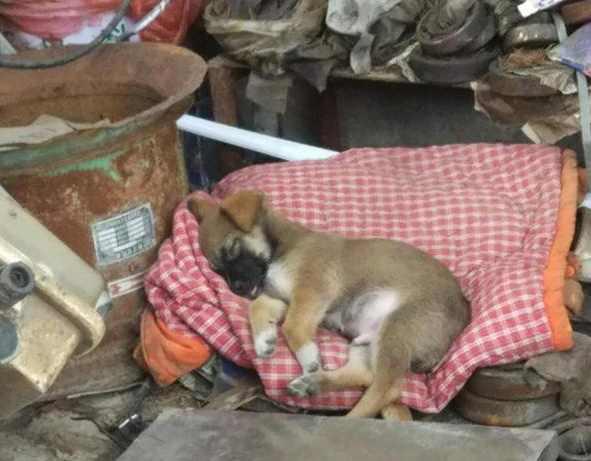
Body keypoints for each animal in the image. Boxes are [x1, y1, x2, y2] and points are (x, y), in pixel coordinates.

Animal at [187, 190, 470, 416]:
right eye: (216, 269)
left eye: (232, 248)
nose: (237, 289)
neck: (282, 249)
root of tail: (464, 315)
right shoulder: (287, 299)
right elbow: (259, 308)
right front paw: (264, 339)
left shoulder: (312, 290)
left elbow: (291, 327)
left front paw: (307, 355)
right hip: (365, 343)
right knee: (366, 375)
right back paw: (312, 384)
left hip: (398, 327)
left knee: (387, 389)